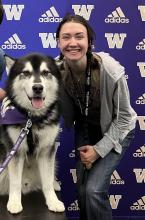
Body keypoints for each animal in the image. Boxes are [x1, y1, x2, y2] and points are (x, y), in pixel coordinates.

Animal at [0, 52, 64, 213]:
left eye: (46, 72)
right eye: (26, 73)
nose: (38, 88)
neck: (32, 119)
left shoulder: (46, 150)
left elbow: (47, 180)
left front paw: (53, 201)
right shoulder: (15, 151)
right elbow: (15, 182)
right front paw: (14, 203)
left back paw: (55, 183)